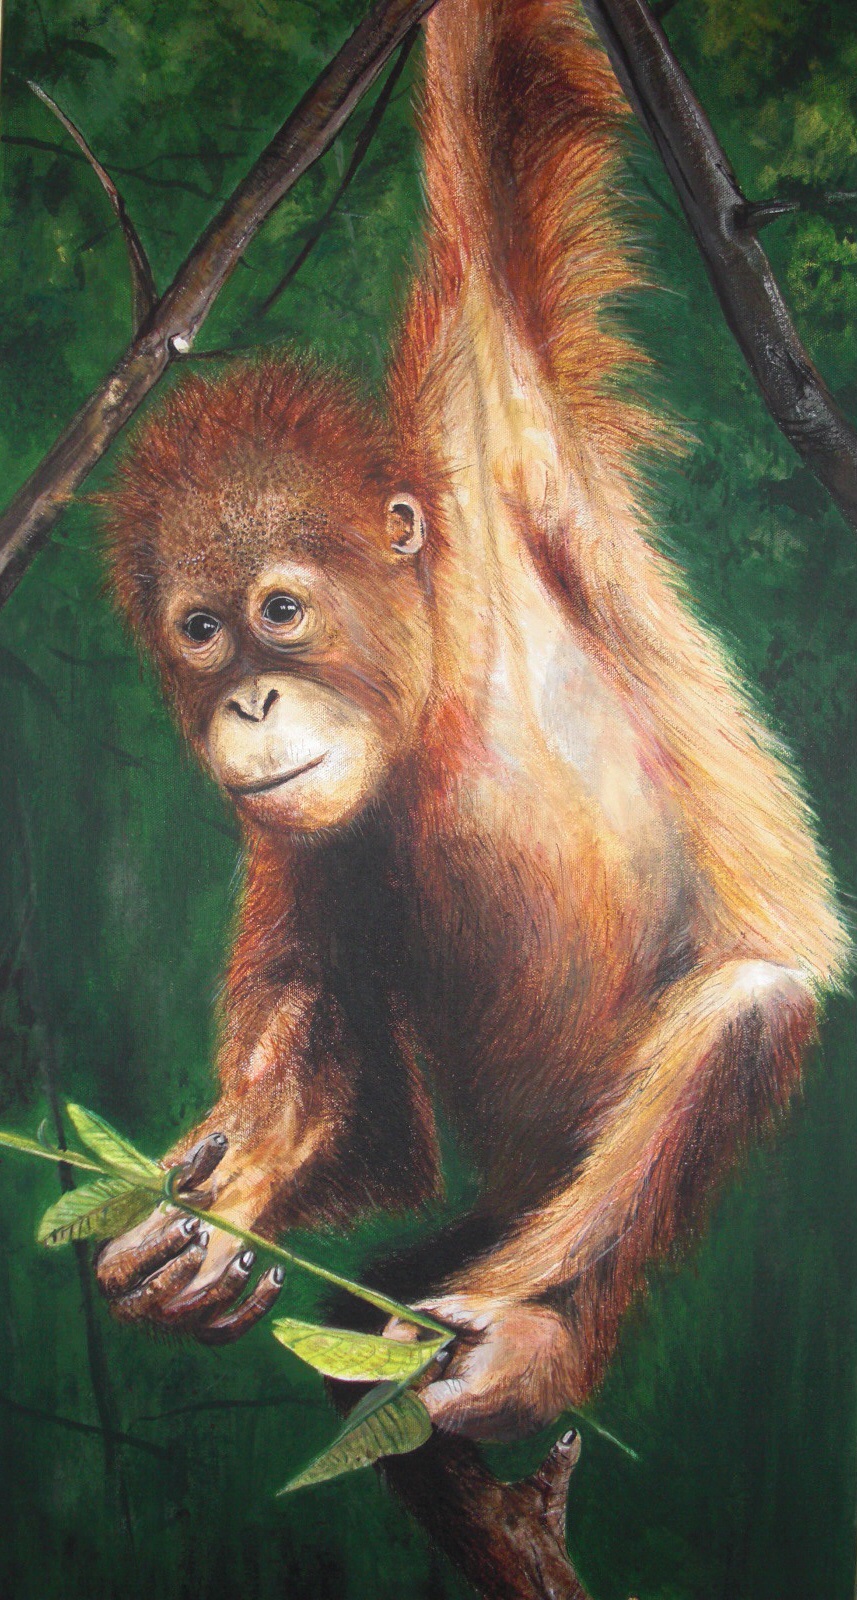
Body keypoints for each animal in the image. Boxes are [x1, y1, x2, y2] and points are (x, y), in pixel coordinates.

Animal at [95, 0, 848, 1445]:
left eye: (280, 610)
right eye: (202, 632)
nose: (252, 698)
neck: (442, 678)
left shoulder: (489, 422)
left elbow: (492, 105)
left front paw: (498, 1323)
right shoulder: (311, 811)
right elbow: (316, 968)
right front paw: (236, 1177)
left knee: (743, 1018)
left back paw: (521, 1348)